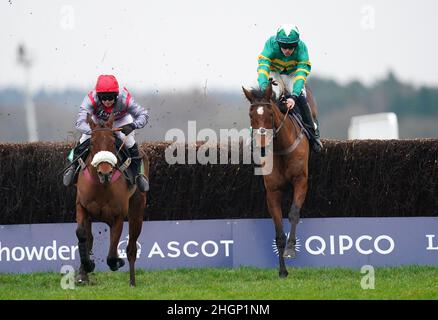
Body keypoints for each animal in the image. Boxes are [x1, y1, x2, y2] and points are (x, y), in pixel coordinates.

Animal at [75, 112, 149, 284]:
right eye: (92, 143)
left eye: (113, 142)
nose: (105, 173)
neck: (101, 186)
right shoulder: (82, 207)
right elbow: (82, 234)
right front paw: (87, 266)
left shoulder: (118, 216)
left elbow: (112, 253)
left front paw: (117, 262)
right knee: (89, 238)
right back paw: (84, 273)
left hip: (137, 210)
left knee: (131, 247)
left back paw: (132, 282)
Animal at [241, 82, 314, 278]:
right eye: (251, 115)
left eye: (271, 114)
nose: (262, 145)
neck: (282, 149)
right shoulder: (272, 192)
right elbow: (279, 232)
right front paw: (282, 271)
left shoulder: (301, 181)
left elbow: (294, 213)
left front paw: (291, 249)